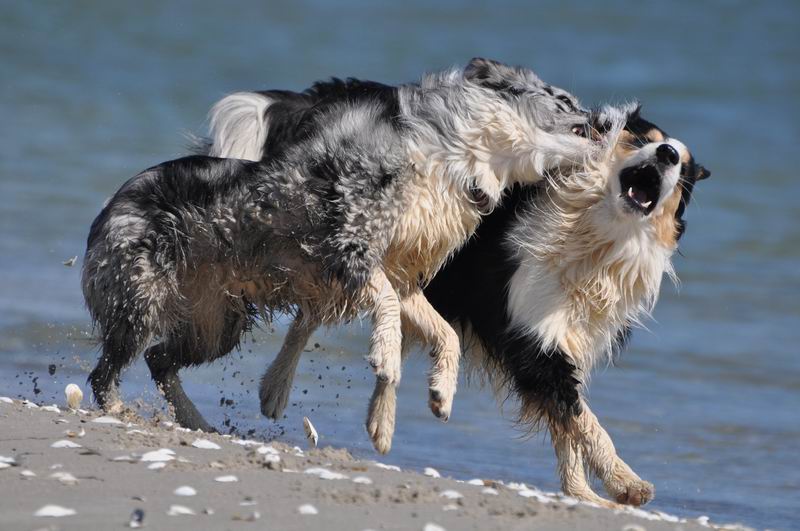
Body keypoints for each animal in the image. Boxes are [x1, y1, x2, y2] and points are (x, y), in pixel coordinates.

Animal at [203, 59, 708, 508]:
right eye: (644, 139)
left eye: (683, 171)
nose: (667, 155)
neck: (594, 236)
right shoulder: (525, 332)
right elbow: (581, 417)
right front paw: (627, 484)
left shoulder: (568, 337)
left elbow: (568, 421)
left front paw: (583, 494)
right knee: (317, 312)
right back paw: (281, 388)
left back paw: (375, 420)